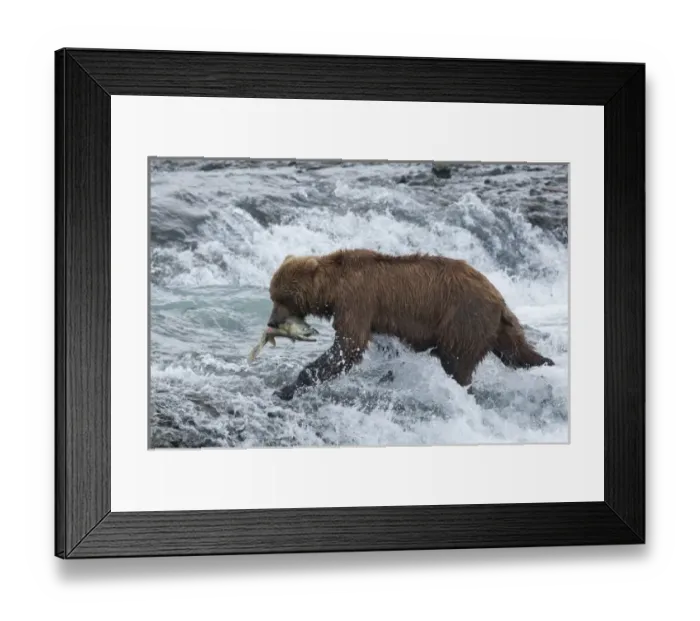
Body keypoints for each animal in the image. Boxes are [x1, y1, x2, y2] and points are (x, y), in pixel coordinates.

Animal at [266, 249, 554, 400]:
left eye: (283, 297)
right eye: (272, 295)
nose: (271, 321)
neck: (332, 290)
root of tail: (498, 297)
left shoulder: (357, 301)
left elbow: (348, 347)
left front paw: (287, 388)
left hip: (464, 318)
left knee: (457, 363)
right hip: (497, 327)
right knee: (516, 353)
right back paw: (546, 362)